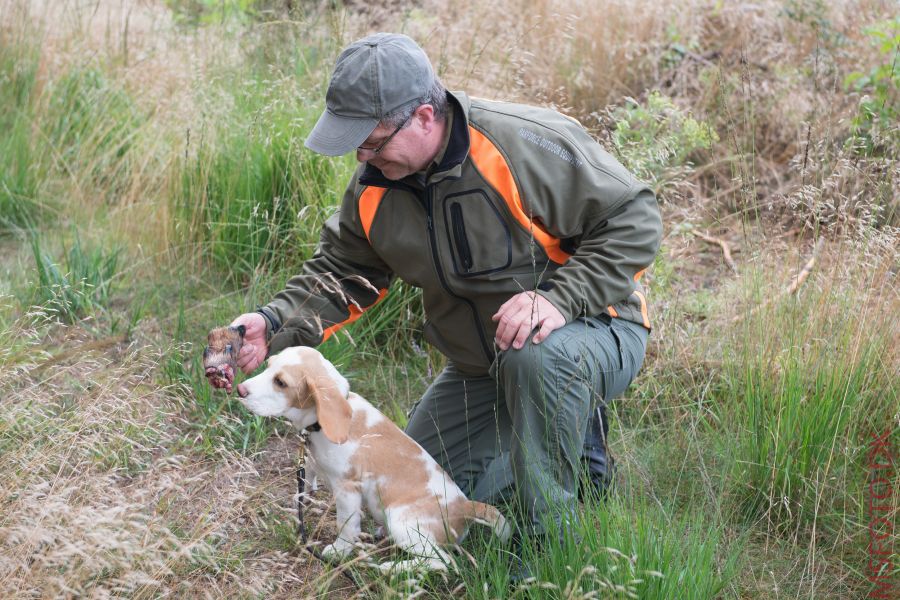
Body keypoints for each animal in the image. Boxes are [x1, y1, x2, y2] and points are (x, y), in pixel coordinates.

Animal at [236, 346, 510, 572]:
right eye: (268, 364)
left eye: (280, 382)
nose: (240, 390)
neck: (319, 425)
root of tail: (465, 506)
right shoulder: (313, 464)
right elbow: (305, 486)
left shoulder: (347, 490)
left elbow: (345, 525)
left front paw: (339, 551)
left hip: (401, 522)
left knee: (442, 562)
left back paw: (392, 568)